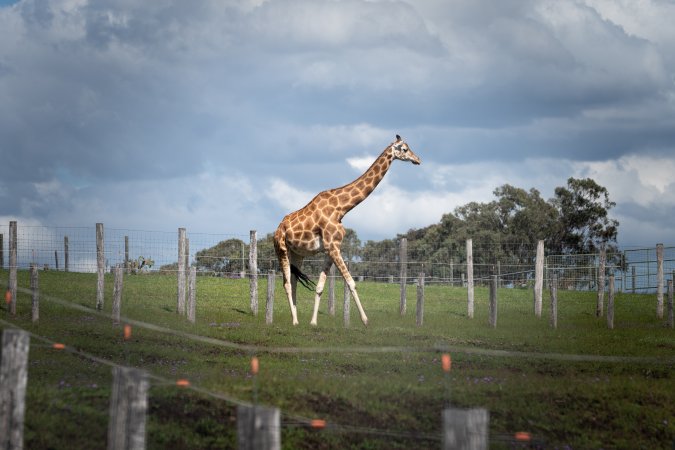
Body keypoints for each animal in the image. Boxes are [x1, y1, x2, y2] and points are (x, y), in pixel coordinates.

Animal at [273, 135, 421, 326]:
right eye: (404, 149)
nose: (418, 159)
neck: (341, 208)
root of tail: (277, 230)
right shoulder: (333, 246)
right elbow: (351, 282)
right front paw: (365, 320)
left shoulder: (331, 248)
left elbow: (320, 286)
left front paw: (313, 322)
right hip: (281, 249)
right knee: (286, 283)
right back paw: (294, 322)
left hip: (298, 254)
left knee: (293, 281)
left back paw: (296, 319)